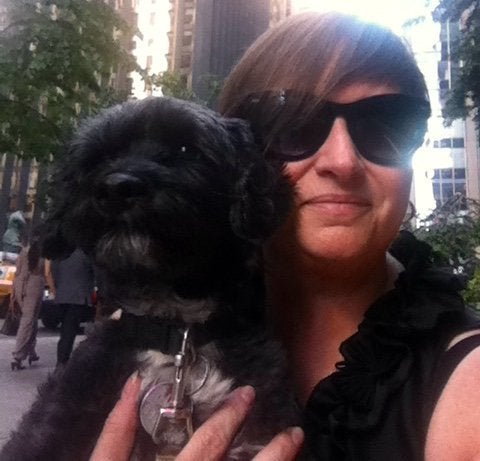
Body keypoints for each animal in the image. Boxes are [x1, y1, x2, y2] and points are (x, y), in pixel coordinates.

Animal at [1, 95, 302, 458]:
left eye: (186, 147)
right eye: (101, 155)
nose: (117, 187)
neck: (176, 334)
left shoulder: (257, 434)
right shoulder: (54, 423)